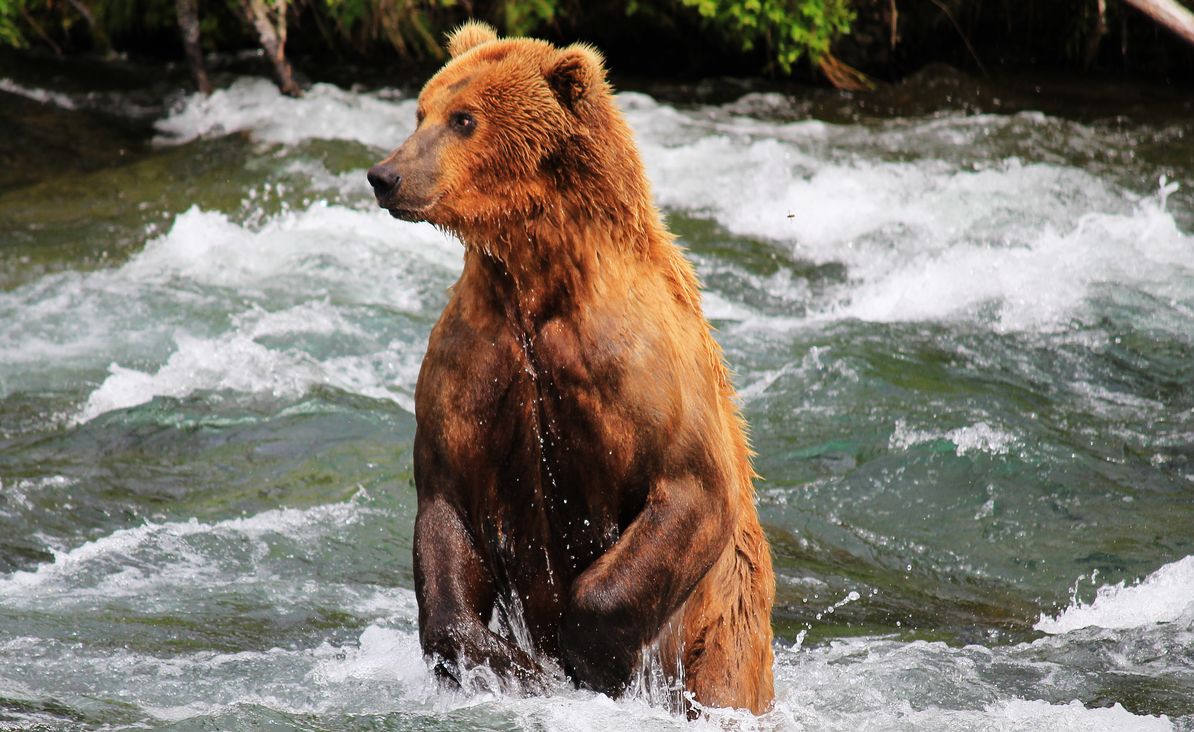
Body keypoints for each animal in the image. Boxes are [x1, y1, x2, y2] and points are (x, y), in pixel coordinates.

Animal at [362, 20, 773, 711]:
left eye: (465, 119)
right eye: (421, 111)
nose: (384, 175)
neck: (536, 278)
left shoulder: (636, 365)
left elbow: (690, 483)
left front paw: (591, 659)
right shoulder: (476, 361)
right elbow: (447, 508)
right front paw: (512, 666)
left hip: (727, 642)